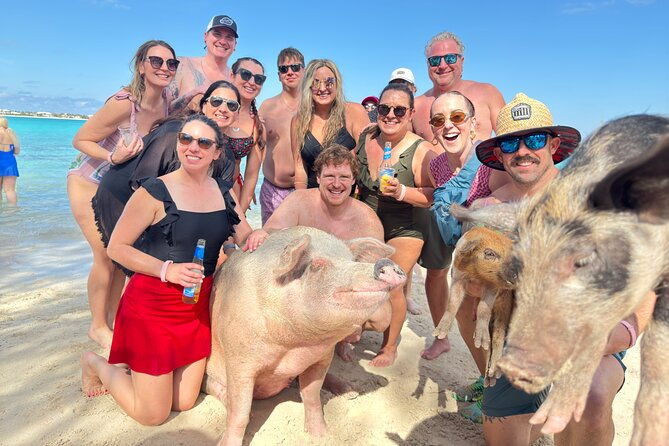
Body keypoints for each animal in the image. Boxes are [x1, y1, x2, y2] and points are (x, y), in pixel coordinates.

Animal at [204, 226, 406, 446]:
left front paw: (322, 436)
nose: (385, 264)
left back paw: (351, 391)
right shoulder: (239, 361)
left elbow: (312, 395)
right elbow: (239, 412)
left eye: (353, 260)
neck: (296, 345)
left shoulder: (322, 358)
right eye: (316, 265)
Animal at [433, 226, 514, 386]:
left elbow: (483, 308)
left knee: (498, 336)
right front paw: (438, 334)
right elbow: (452, 303)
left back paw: (492, 374)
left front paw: (479, 342)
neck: (477, 275)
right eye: (489, 253)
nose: (516, 273)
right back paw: (489, 379)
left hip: (505, 305)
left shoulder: (494, 287)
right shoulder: (458, 275)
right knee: (491, 343)